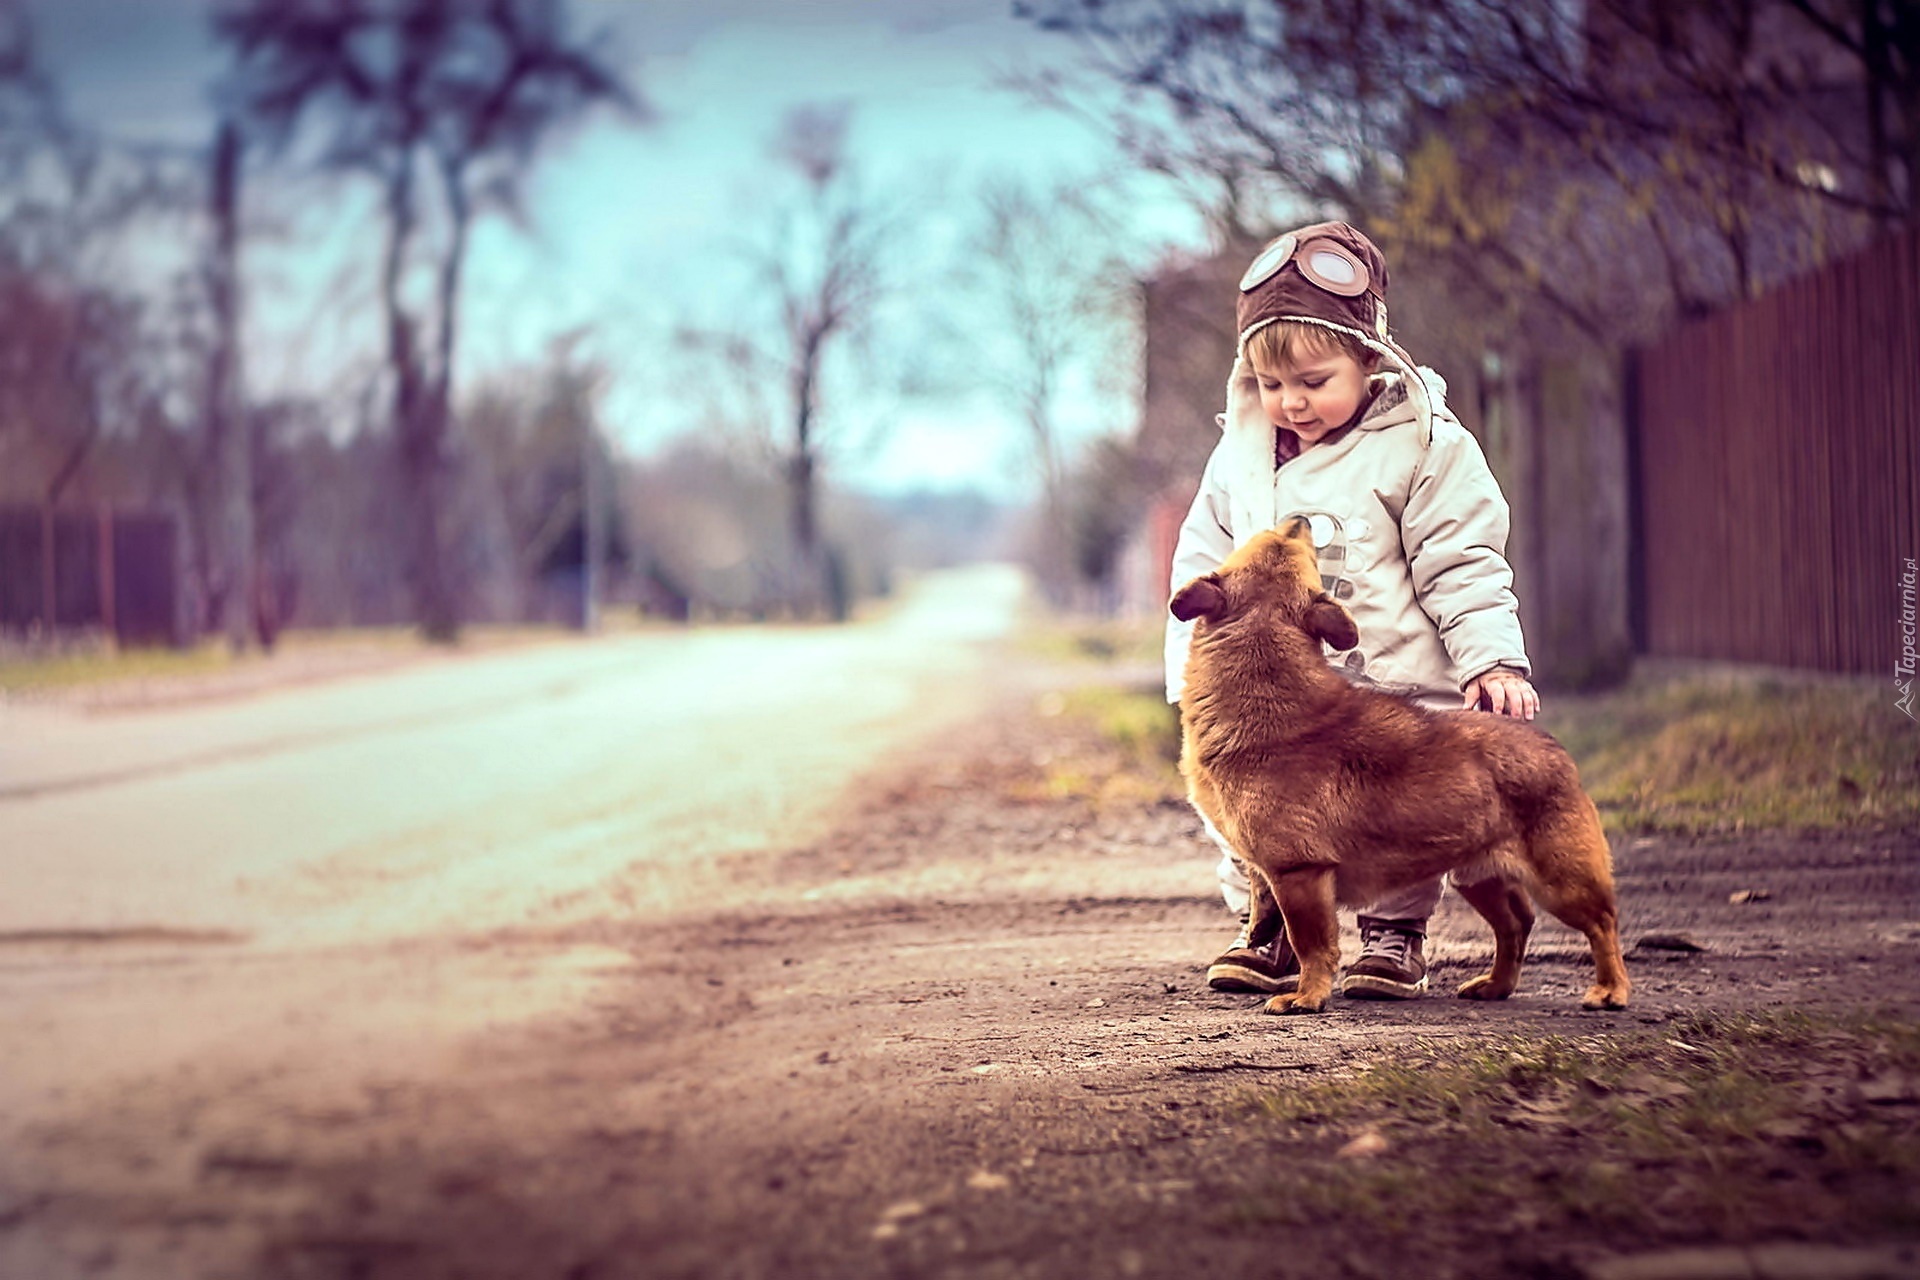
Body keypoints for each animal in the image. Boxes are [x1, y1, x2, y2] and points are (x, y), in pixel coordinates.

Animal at [1175, 518, 1628, 1013]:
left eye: (1293, 544)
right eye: (1277, 540)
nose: (1301, 519)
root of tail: (1553, 749)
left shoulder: (1300, 875)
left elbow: (1311, 944)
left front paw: (1308, 995)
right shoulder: (1271, 873)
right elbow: (1264, 909)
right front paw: (1261, 943)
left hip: (1562, 883)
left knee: (1603, 925)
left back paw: (1611, 989)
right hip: (1480, 878)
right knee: (1515, 924)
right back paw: (1497, 984)